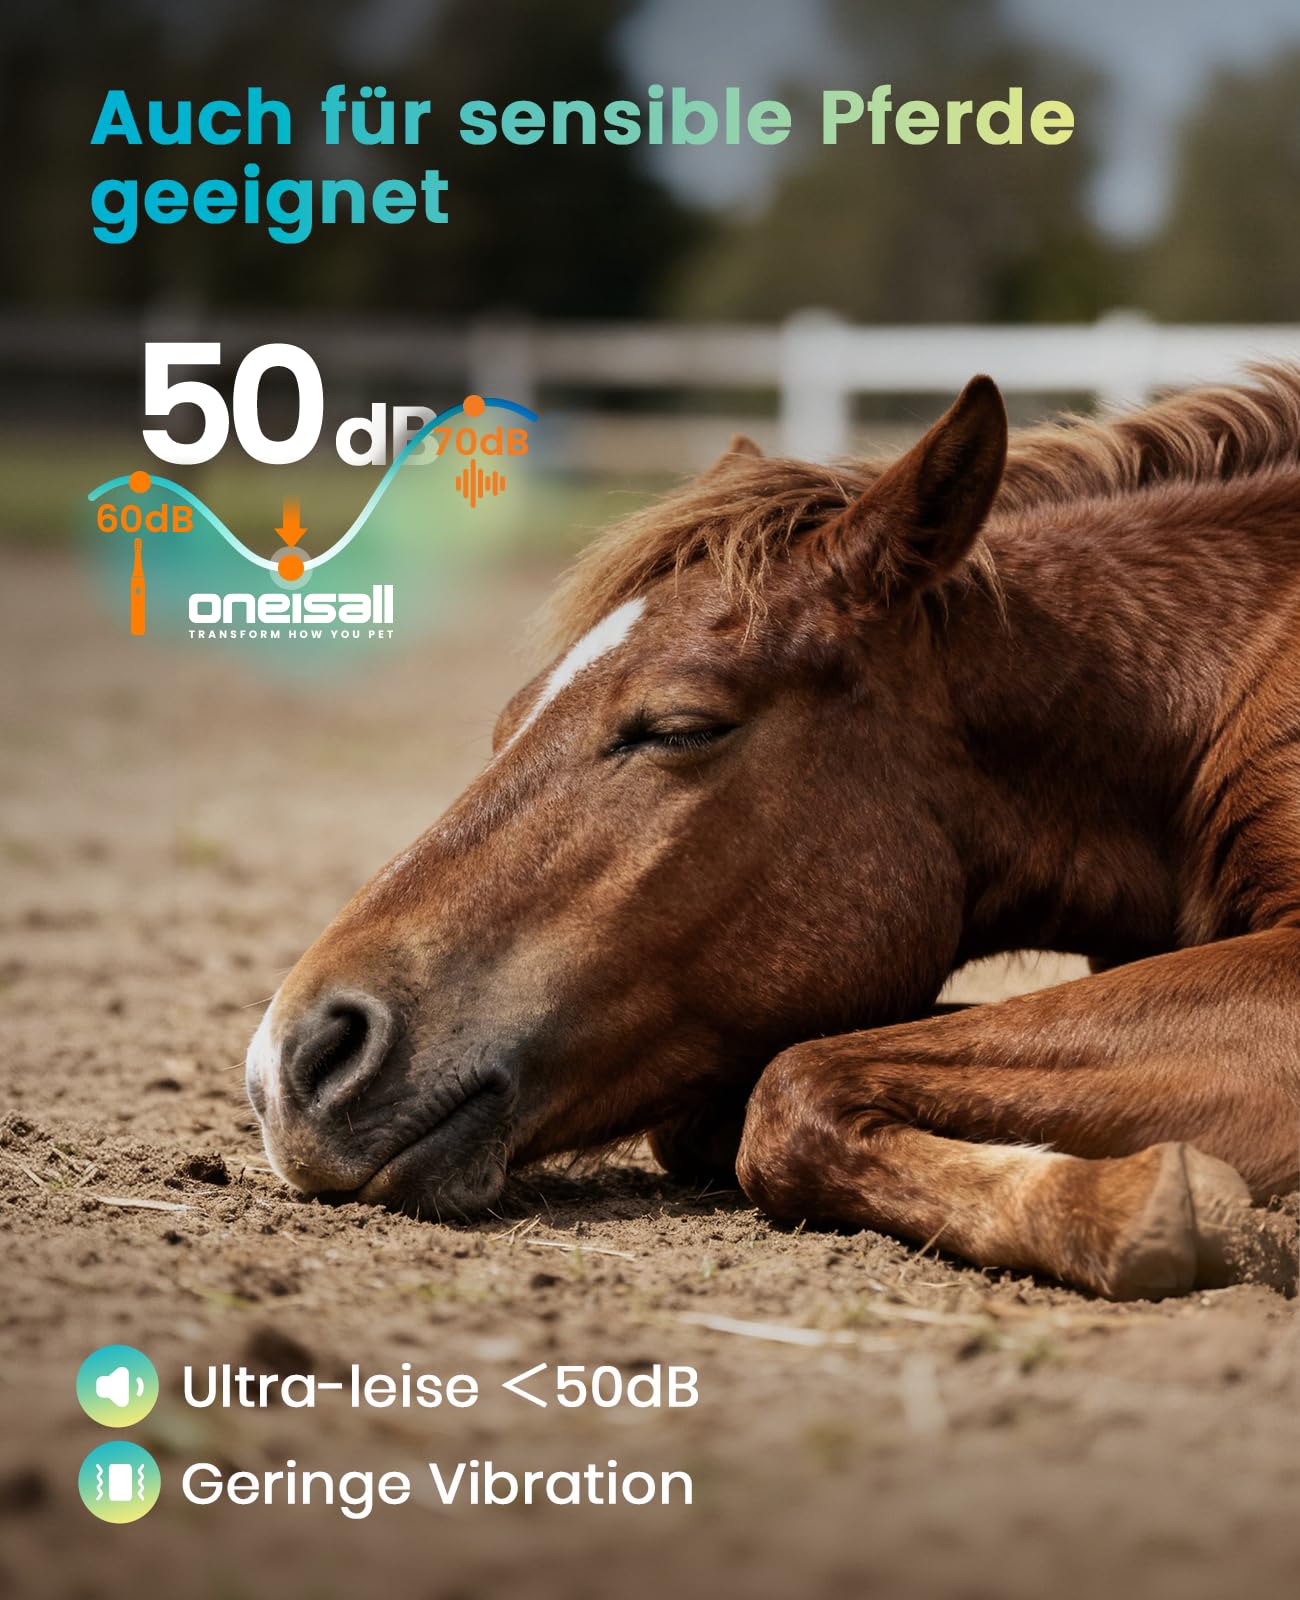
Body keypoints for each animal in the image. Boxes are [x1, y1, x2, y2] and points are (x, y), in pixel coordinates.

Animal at [246, 366, 1300, 1300]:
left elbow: (794, 1085)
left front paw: (1154, 1203)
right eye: (506, 724)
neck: (1200, 690)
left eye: (679, 728)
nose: (292, 1063)